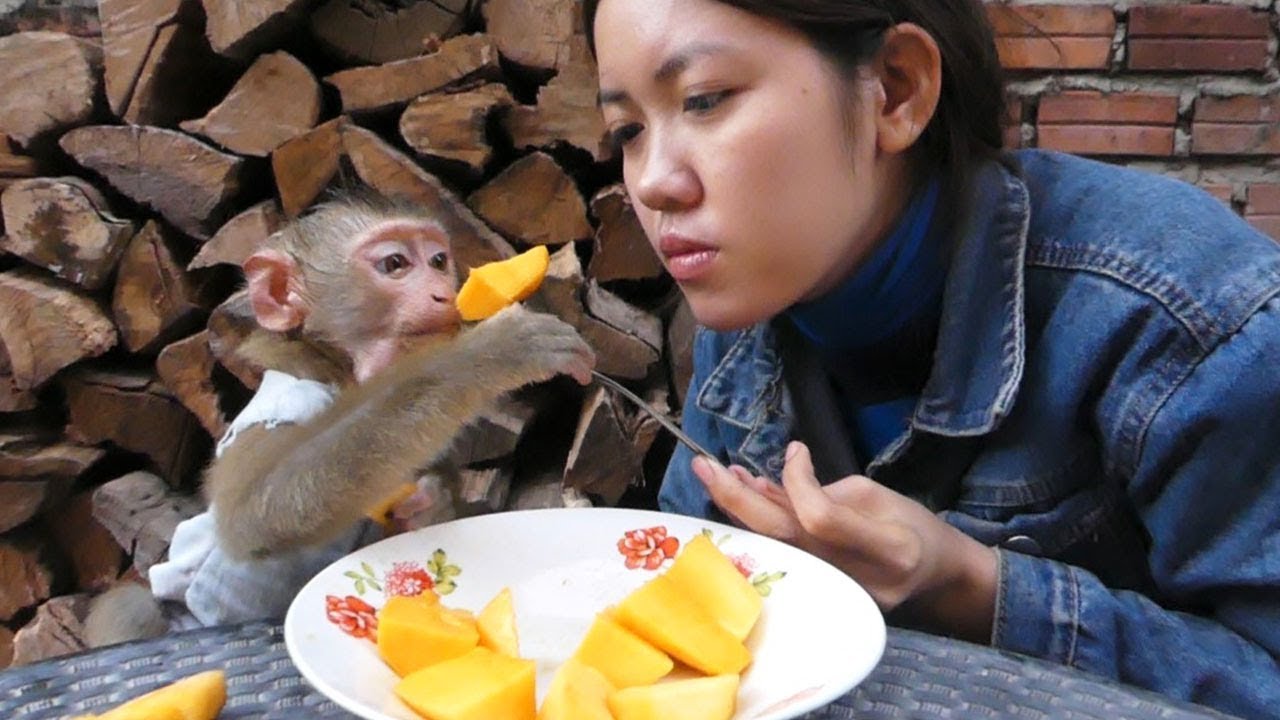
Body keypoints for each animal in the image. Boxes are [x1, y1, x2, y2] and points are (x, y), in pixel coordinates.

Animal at [85, 192, 595, 643]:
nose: (442, 294)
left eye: (437, 261)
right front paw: (486, 355)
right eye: (395, 264)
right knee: (134, 607)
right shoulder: (289, 399)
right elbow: (257, 510)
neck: (344, 374)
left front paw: (428, 502)